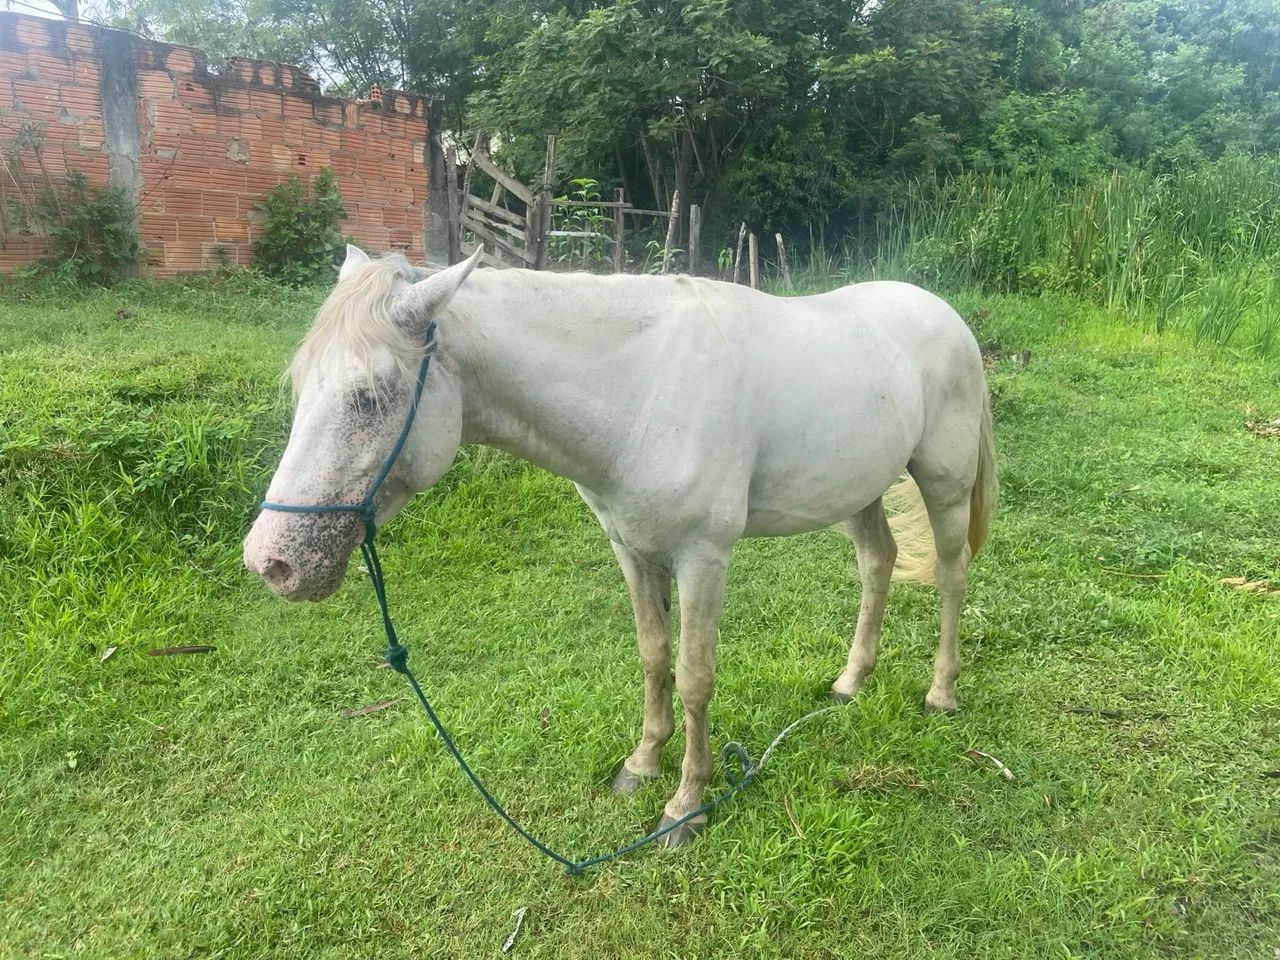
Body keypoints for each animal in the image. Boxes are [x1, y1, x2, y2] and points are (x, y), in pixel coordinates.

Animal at [243, 245, 997, 847]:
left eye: (370, 394)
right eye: (301, 386)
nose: (271, 562)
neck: (637, 390)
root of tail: (948, 317)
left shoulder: (703, 558)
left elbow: (695, 678)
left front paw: (685, 807)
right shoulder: (633, 549)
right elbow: (653, 657)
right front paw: (641, 766)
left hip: (944, 483)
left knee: (952, 575)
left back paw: (941, 692)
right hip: (859, 491)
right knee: (878, 563)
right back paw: (849, 683)